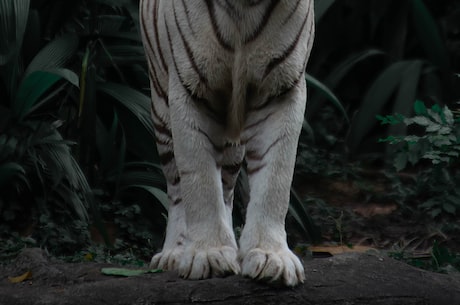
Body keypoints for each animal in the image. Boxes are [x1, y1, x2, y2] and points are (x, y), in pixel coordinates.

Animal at [138, 0, 314, 284]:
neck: (245, 7)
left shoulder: (281, 91)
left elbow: (275, 179)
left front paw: (270, 256)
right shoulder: (189, 91)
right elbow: (200, 182)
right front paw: (208, 254)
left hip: (232, 144)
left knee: (227, 191)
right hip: (161, 107)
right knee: (176, 190)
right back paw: (174, 253)